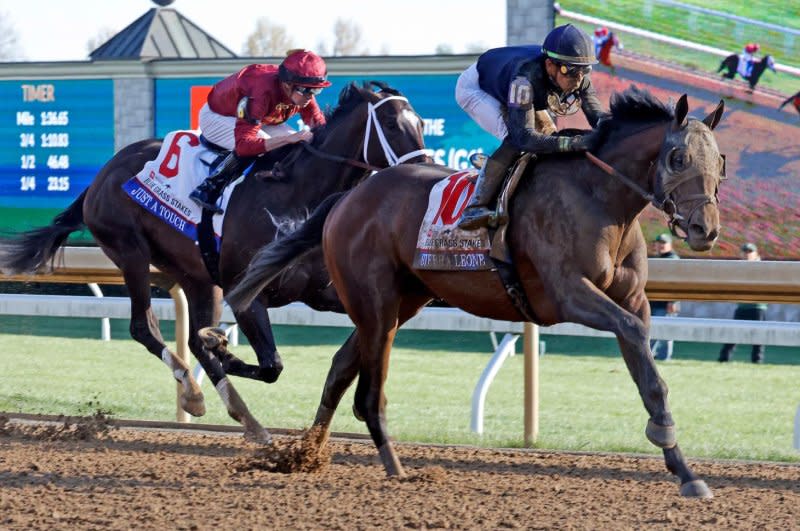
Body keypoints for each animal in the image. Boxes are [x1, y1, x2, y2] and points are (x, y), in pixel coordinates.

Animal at [0, 82, 428, 440]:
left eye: (421, 122)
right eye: (391, 123)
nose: (420, 169)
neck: (296, 194)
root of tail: (103, 173)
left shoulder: (322, 292)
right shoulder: (248, 295)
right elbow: (270, 365)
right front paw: (222, 346)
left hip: (198, 276)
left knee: (188, 335)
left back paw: (242, 417)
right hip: (131, 252)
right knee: (145, 327)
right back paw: (194, 388)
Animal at [228, 87, 728, 498]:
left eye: (720, 162)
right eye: (678, 158)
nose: (705, 230)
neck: (600, 198)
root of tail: (348, 197)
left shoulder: (635, 301)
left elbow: (648, 372)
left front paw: (684, 470)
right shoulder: (569, 293)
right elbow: (634, 338)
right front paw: (664, 435)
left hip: (400, 303)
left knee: (338, 370)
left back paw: (304, 456)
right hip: (376, 304)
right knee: (369, 393)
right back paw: (394, 468)